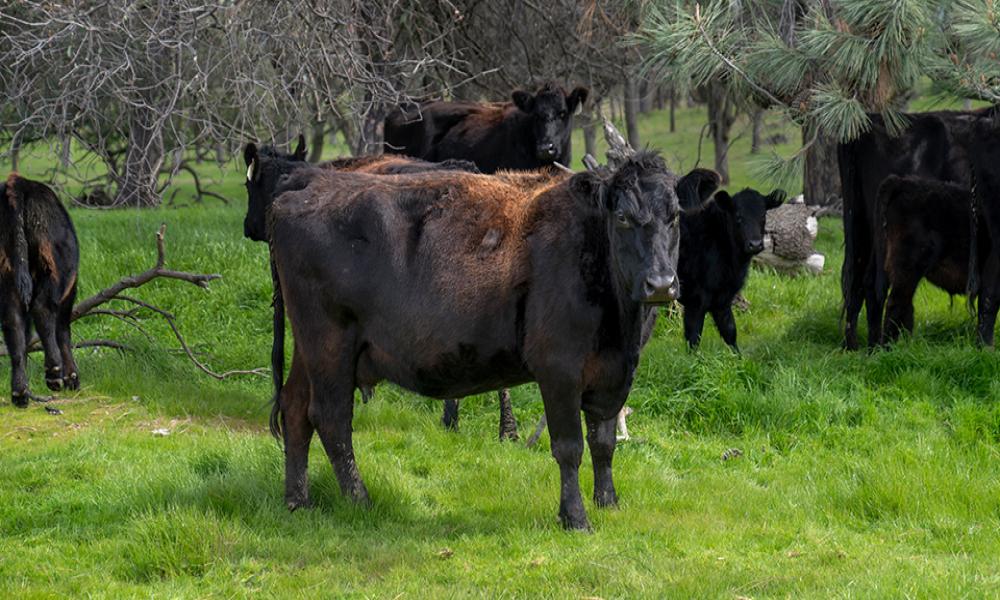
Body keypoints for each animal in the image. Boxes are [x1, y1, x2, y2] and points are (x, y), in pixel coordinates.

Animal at [0, 173, 79, 408]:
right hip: (51, 270)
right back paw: (53, 372)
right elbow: (63, 332)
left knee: (14, 327)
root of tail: (18, 182)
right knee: (43, 312)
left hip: (8, 278)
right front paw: (71, 376)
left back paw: (20, 392)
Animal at [676, 188, 784, 352]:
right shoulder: (696, 299)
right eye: (738, 216)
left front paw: (738, 356)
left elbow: (730, 330)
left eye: (763, 215)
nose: (755, 244)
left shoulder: (723, 298)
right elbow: (693, 336)